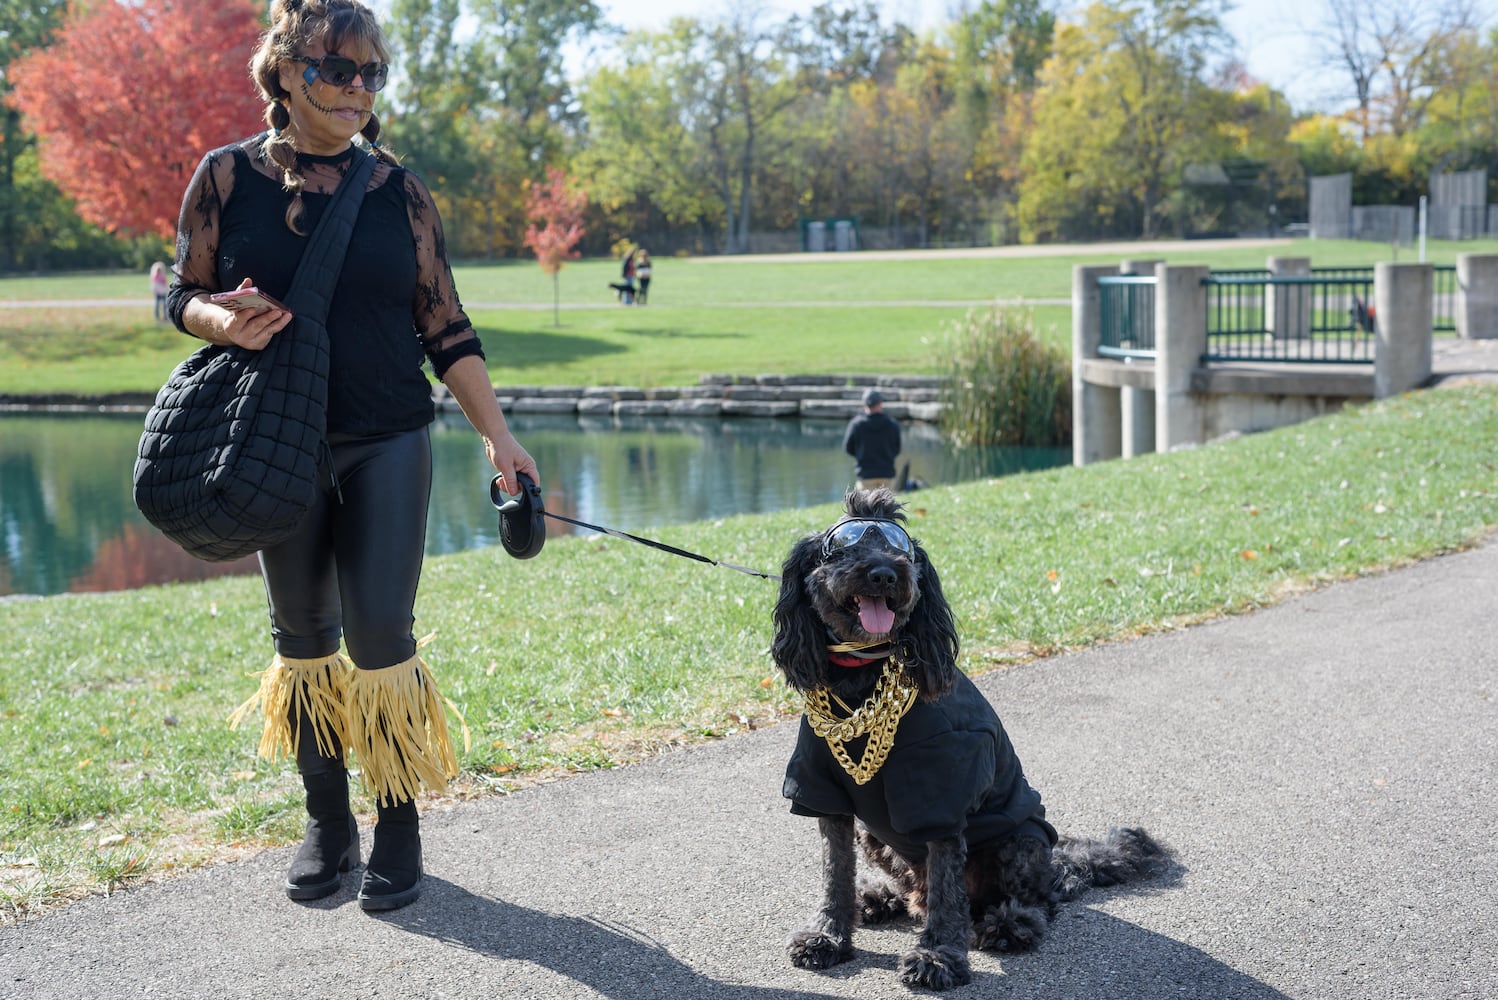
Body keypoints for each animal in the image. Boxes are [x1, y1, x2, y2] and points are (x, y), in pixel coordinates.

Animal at [772, 488, 1168, 988]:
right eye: (842, 548)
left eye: (902, 551)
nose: (885, 573)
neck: (864, 674)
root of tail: (1058, 865)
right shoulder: (827, 796)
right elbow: (833, 874)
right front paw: (828, 936)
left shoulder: (942, 794)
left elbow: (946, 892)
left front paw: (937, 956)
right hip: (875, 835)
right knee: (916, 890)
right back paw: (881, 897)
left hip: (1018, 842)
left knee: (1032, 902)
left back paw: (1009, 925)